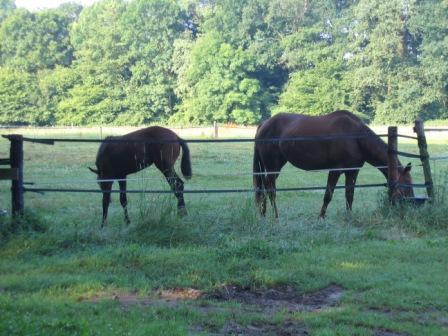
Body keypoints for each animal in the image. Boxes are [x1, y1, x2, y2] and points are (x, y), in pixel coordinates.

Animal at [254, 109, 414, 217]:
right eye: (405, 185)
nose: (409, 206)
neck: (355, 137)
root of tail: (264, 124)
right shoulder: (335, 171)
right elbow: (328, 195)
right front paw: (321, 217)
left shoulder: (352, 171)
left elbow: (349, 195)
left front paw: (349, 217)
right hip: (272, 166)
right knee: (271, 190)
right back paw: (275, 216)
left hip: (275, 166)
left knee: (264, 188)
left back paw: (263, 214)